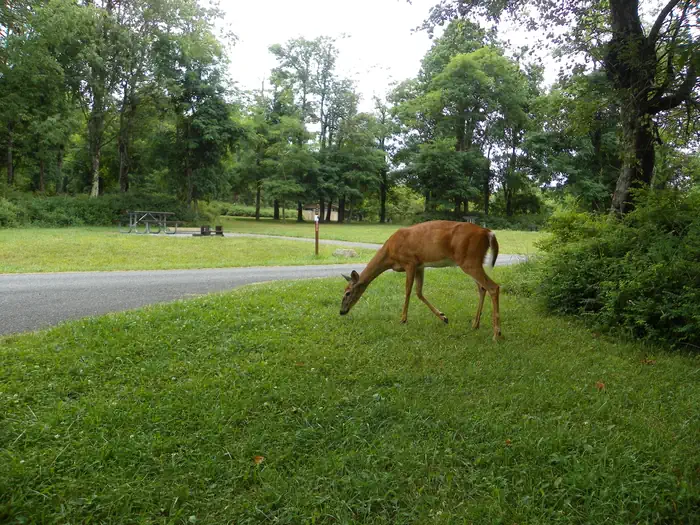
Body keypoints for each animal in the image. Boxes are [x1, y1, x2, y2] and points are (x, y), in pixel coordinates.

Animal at [340, 220, 502, 341]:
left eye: (347, 293)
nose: (342, 311)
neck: (389, 253)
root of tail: (488, 233)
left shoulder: (410, 262)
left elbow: (408, 291)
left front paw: (403, 319)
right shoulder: (420, 266)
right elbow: (419, 292)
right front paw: (443, 317)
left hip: (469, 260)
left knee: (493, 287)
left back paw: (496, 334)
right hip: (472, 261)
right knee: (482, 288)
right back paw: (475, 324)